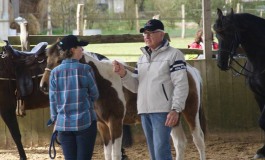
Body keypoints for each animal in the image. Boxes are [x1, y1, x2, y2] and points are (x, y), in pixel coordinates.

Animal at [213, 8, 265, 158]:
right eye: (217, 35)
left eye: (230, 33)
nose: (221, 63)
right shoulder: (258, 95)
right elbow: (262, 123)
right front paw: (262, 150)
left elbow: (263, 122)